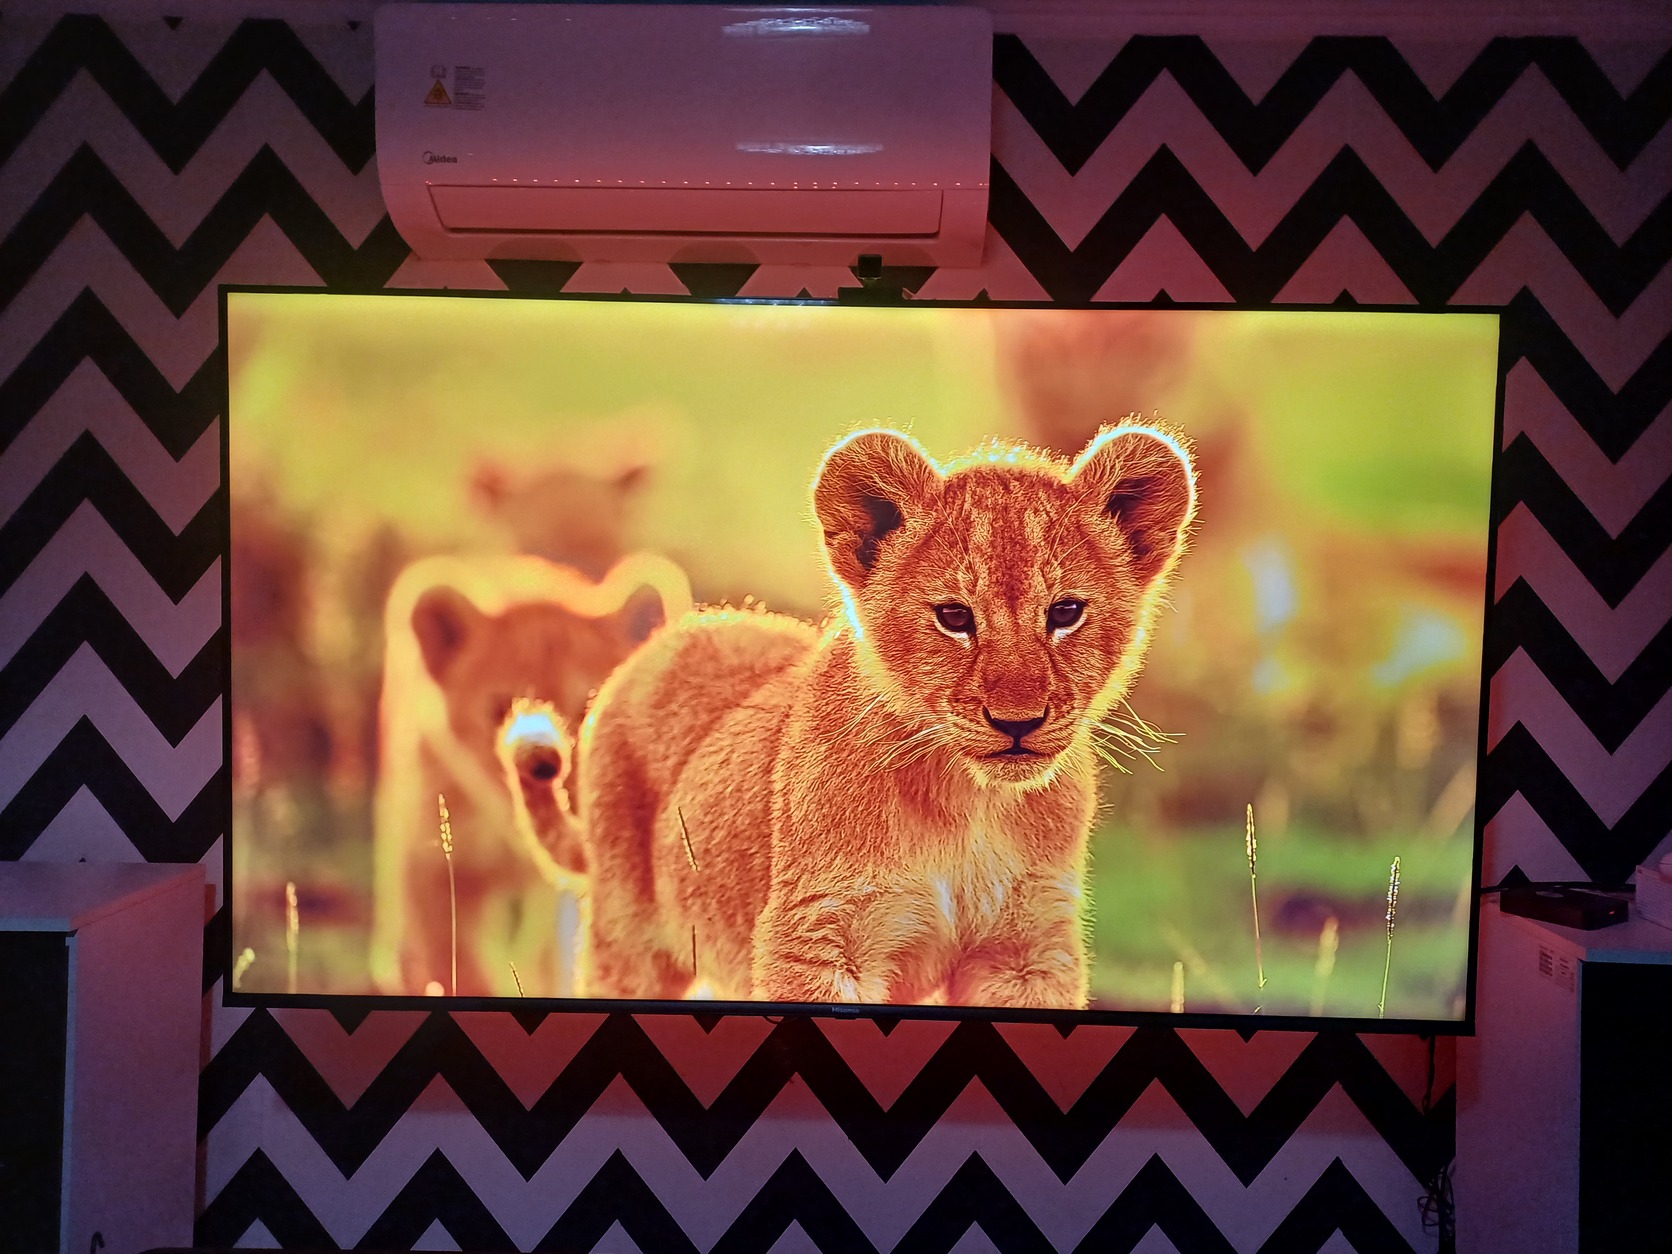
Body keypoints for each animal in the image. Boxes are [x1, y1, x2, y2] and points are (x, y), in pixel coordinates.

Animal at [499, 422, 1196, 1008]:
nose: (1018, 722)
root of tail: (671, 636)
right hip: (629, 939)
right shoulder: (817, 941)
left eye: (1066, 613)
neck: (968, 803)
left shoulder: (1027, 950)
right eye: (954, 617)